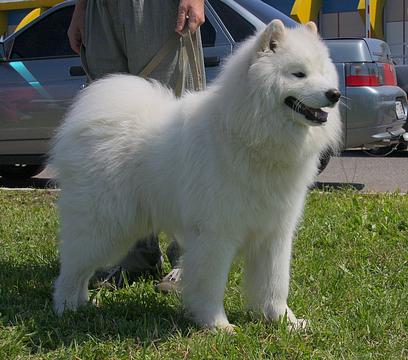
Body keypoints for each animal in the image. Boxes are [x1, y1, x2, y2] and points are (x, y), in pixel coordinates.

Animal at [52, 18, 342, 330]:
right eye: (298, 74)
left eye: (324, 73)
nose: (334, 94)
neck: (248, 135)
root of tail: (93, 118)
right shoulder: (215, 234)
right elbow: (211, 285)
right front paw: (218, 325)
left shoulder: (274, 233)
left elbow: (274, 284)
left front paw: (284, 321)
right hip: (105, 226)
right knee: (73, 267)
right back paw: (66, 307)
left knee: (80, 268)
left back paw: (83, 304)